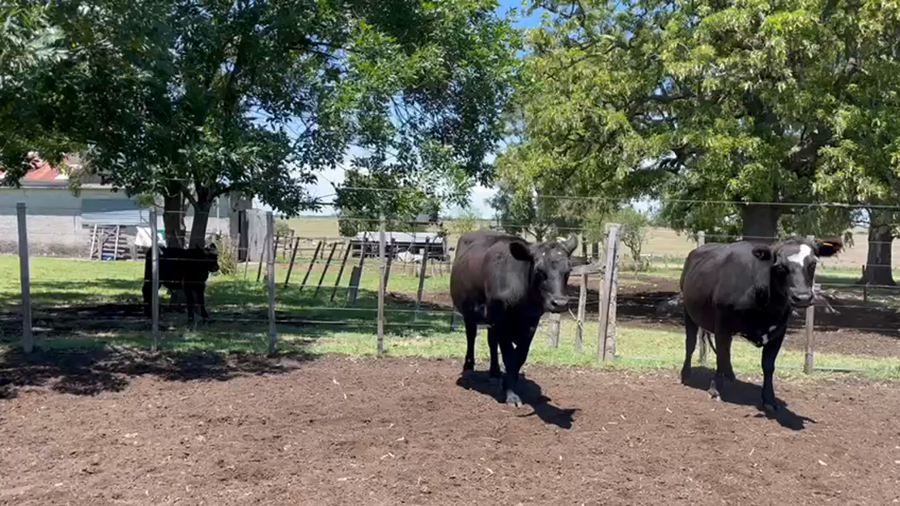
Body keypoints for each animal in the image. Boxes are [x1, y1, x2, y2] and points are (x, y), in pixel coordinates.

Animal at [450, 230, 578, 407]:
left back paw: (495, 373)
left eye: (568, 270)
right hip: (468, 311)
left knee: (491, 342)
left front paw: (508, 382)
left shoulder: (531, 322)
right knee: (471, 336)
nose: (560, 303)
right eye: (539, 270)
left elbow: (520, 355)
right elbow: (509, 356)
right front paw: (511, 395)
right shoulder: (501, 321)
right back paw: (469, 367)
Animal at [679, 236, 842, 412]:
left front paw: (769, 399)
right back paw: (686, 375)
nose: (803, 297)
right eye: (780, 267)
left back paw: (730, 375)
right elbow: (721, 356)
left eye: (813, 263)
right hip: (688, 312)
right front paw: (715, 389)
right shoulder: (722, 325)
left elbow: (768, 365)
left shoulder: (779, 332)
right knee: (691, 344)